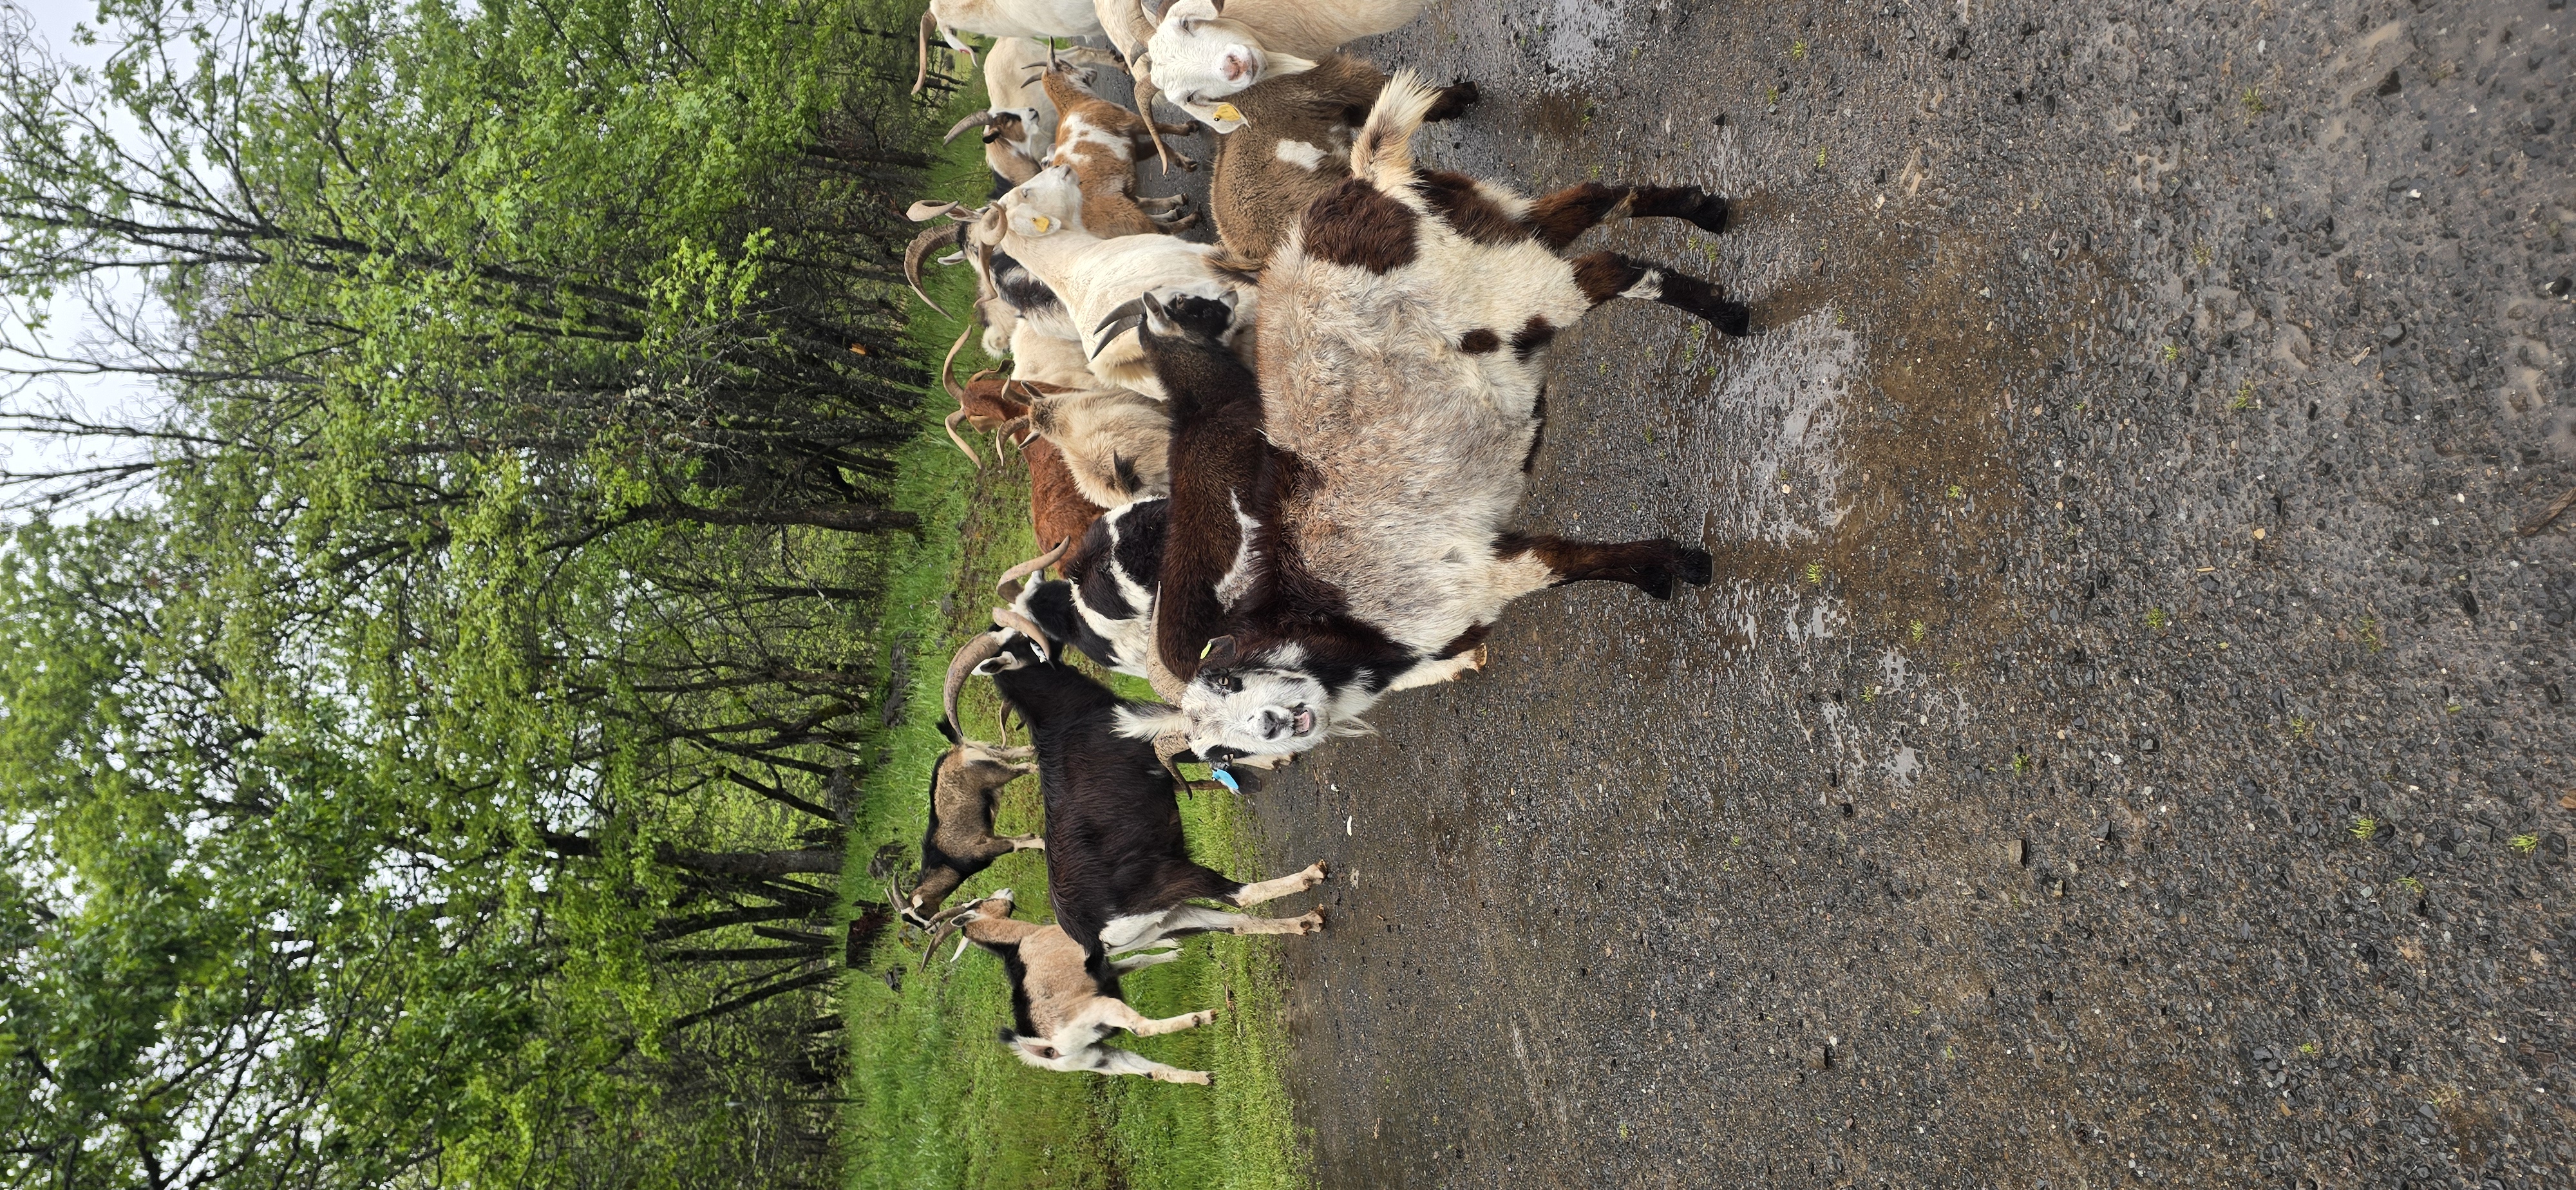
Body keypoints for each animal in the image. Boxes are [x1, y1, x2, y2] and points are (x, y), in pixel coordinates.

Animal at [892, 736, 1043, 928]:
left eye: (919, 912)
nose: (930, 929)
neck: (947, 861)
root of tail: (957, 749)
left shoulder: (980, 850)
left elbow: (1014, 845)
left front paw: (1043, 844)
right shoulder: (988, 838)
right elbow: (1022, 840)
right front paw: (1036, 838)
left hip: (996, 773)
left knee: (1027, 767)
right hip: (995, 755)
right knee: (1020, 752)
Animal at [930, 890, 1220, 1083]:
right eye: (978, 902)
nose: (1006, 892)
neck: (1022, 940)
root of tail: (1041, 1047)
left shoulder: (1105, 970)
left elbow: (1139, 958)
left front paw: (1177, 953)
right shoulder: (1095, 951)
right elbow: (1143, 943)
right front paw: (1178, 944)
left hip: (1097, 1058)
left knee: (1151, 1071)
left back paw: (1205, 1077)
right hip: (1104, 1011)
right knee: (1142, 1028)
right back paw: (1201, 1018)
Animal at [941, 629, 1326, 961]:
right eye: (1027, 644)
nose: (1052, 638)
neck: (1065, 720)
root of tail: (1096, 937)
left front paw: (1273, 755)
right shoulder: (1140, 740)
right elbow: (1195, 750)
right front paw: (1276, 755)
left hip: (1170, 921)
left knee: (1237, 924)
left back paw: (1306, 922)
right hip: (1172, 879)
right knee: (1239, 897)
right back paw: (1309, 877)